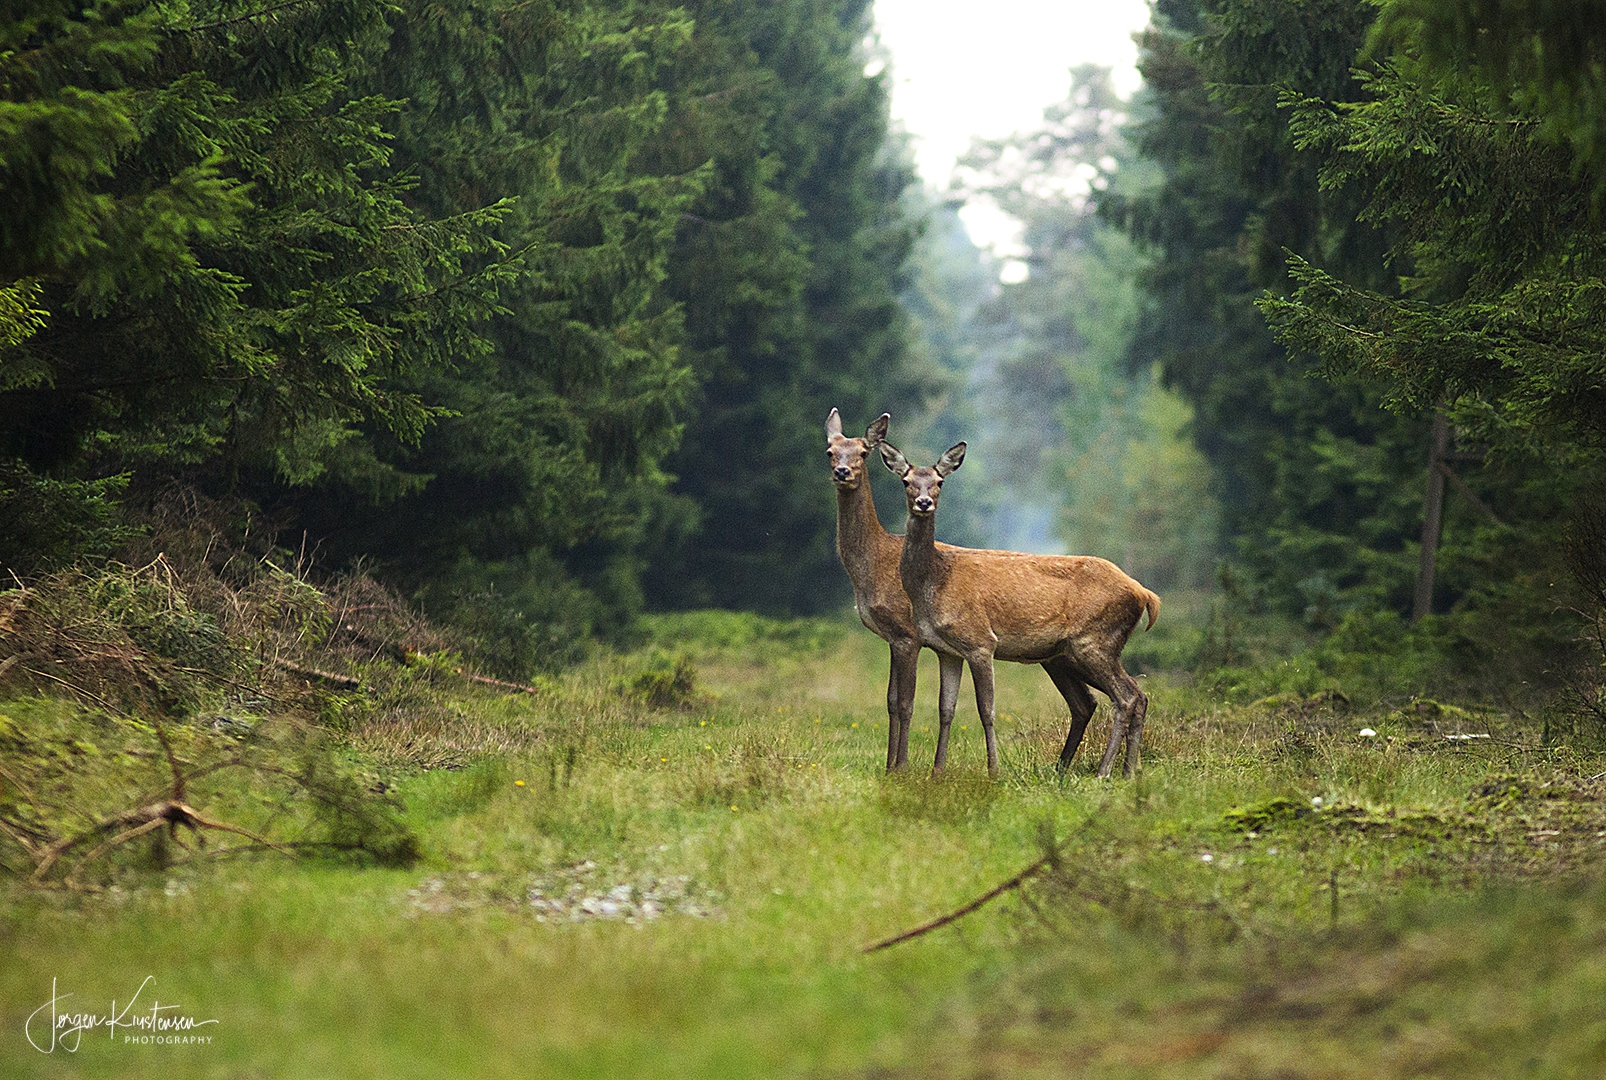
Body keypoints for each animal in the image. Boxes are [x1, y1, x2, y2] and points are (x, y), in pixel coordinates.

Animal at [878, 439, 1161, 779]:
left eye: (939, 481)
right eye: (906, 481)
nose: (923, 502)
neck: (935, 582)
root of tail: (1145, 594)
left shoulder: (980, 641)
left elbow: (986, 709)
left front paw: (993, 771)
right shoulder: (946, 649)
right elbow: (946, 707)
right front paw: (937, 772)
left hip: (1094, 640)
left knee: (1126, 696)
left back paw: (1105, 771)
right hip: (1074, 652)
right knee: (1132, 695)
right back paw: (1127, 771)